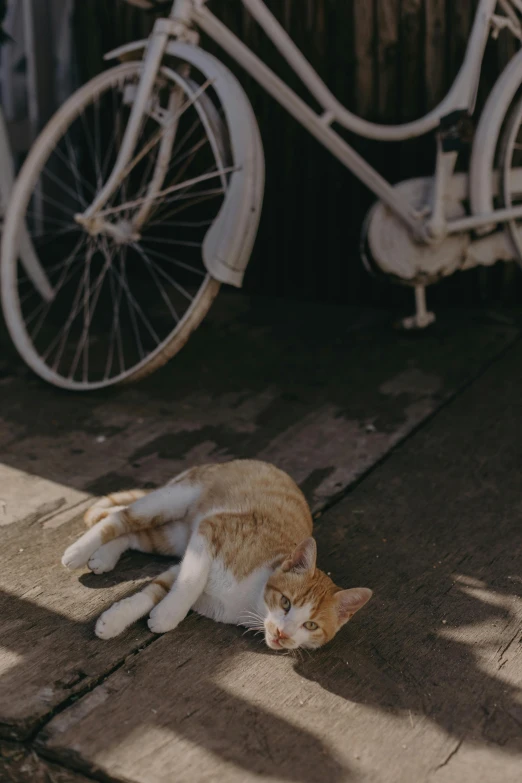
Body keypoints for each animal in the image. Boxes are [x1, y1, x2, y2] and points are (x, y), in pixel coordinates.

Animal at [62, 460, 370, 648]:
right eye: (286, 603)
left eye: (311, 625)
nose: (283, 633)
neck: (249, 601)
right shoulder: (211, 530)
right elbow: (190, 582)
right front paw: (165, 615)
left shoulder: (186, 558)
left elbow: (158, 588)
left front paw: (120, 619)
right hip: (173, 500)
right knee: (119, 518)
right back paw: (78, 551)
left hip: (173, 536)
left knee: (134, 532)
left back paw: (104, 555)